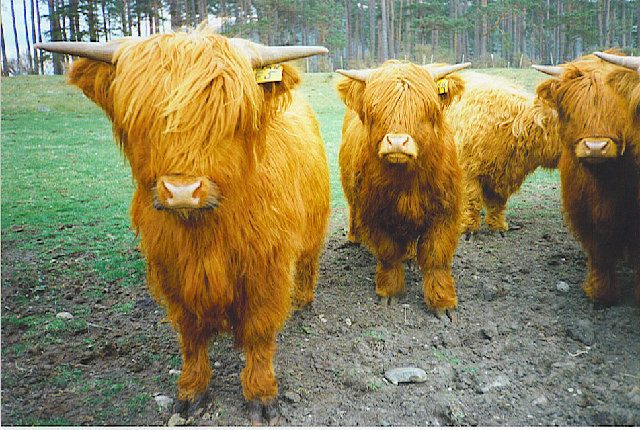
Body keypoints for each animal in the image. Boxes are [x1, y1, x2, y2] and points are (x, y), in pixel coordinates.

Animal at [36, 27, 331, 424]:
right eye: (141, 119)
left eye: (229, 116)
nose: (181, 191)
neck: (203, 233)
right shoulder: (172, 271)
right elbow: (190, 337)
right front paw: (191, 391)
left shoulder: (265, 271)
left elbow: (258, 333)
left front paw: (260, 393)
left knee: (309, 263)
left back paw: (304, 301)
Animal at [336, 60, 469, 318]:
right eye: (374, 110)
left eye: (426, 109)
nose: (397, 142)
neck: (406, 182)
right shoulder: (373, 215)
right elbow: (388, 253)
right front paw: (389, 291)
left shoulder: (445, 213)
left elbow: (436, 256)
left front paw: (442, 303)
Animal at [445, 72, 561, 236]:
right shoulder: (468, 170)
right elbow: (472, 199)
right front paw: (468, 227)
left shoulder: (503, 173)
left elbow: (497, 202)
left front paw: (498, 225)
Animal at [533, 55, 640, 306]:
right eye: (573, 109)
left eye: (617, 110)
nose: (596, 147)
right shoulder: (584, 213)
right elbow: (599, 252)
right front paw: (601, 294)